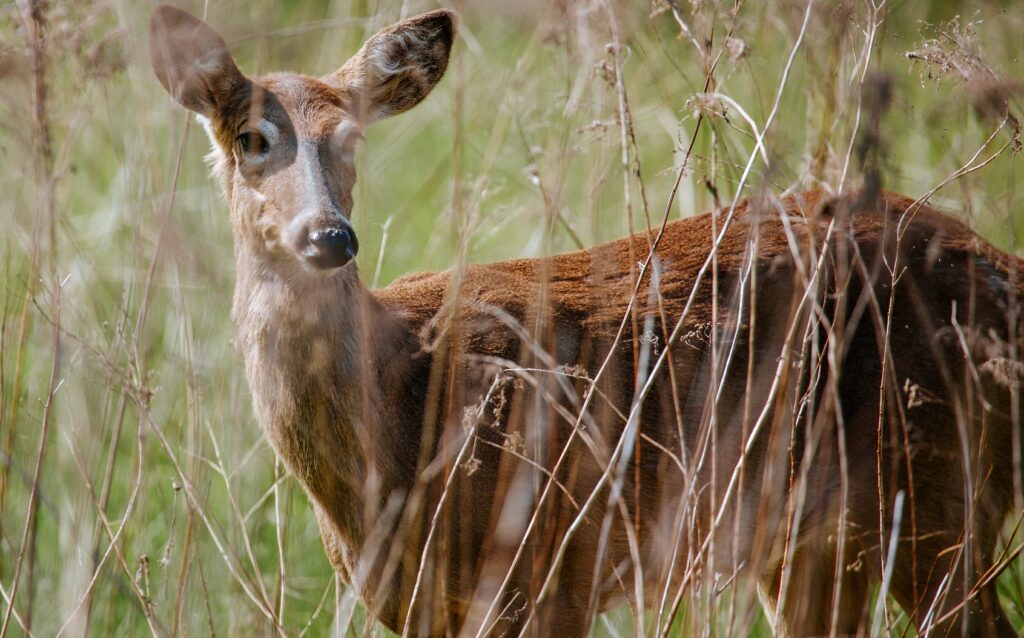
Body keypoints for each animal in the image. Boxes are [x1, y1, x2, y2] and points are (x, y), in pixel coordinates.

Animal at [149, 5, 1023, 637]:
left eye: (353, 138)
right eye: (251, 137)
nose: (329, 236)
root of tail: (1005, 272)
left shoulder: (546, 568)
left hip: (934, 488)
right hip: (818, 539)